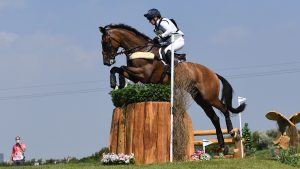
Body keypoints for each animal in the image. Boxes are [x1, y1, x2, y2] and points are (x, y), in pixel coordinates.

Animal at [98, 23, 246, 152]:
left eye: (105, 42)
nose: (106, 61)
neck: (141, 50)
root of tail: (213, 73)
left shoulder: (144, 74)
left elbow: (121, 68)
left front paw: (115, 82)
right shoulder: (135, 75)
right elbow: (117, 69)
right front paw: (118, 83)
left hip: (209, 96)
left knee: (224, 109)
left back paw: (232, 132)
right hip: (200, 98)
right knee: (214, 118)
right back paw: (223, 146)